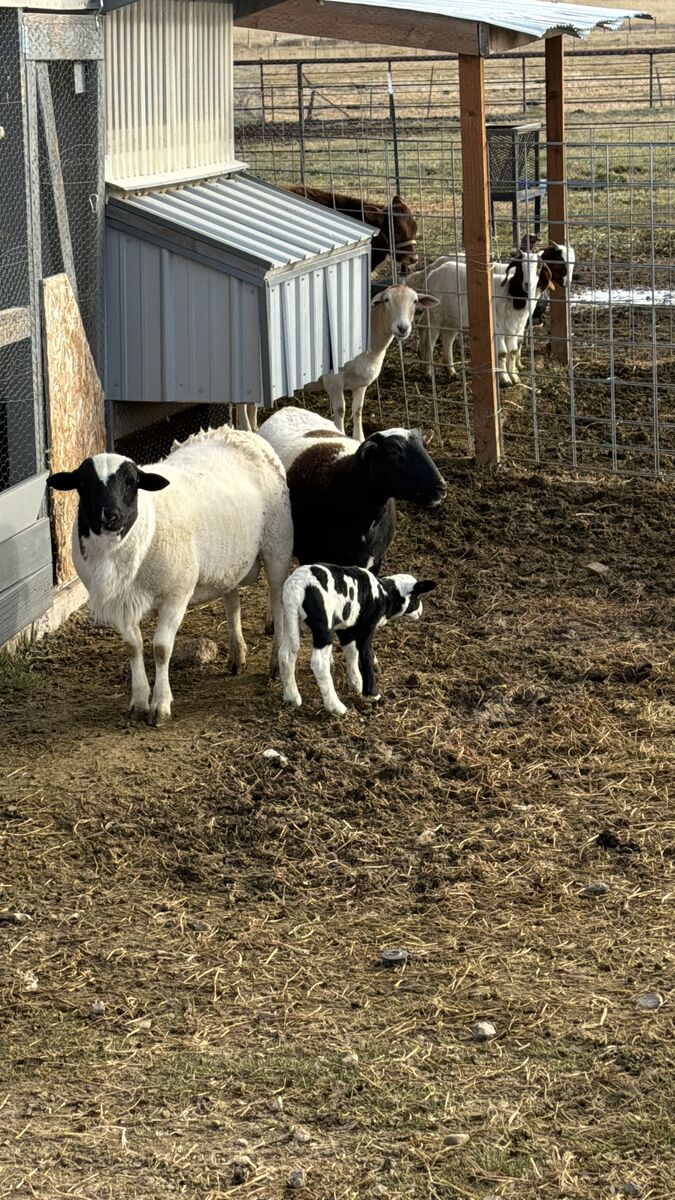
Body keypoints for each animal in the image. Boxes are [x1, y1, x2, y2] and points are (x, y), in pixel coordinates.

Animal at [47, 428, 293, 724]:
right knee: (232, 600)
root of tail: (236, 431)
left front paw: (161, 706)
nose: (111, 515)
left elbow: (162, 648)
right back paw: (236, 656)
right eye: (83, 483)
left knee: (278, 602)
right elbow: (133, 646)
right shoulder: (120, 603)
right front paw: (139, 701)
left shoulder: (176, 595)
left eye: (132, 482)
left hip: (277, 547)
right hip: (228, 561)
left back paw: (276, 664)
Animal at [258, 406, 446, 573]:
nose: (441, 487)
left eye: (424, 447)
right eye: (393, 452)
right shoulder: (310, 558)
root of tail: (286, 409)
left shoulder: (376, 560)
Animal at [279, 563, 437, 715]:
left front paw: (356, 683)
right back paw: (335, 707)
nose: (421, 611)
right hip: (323, 626)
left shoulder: (345, 626)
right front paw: (372, 694)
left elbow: (352, 651)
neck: (385, 594)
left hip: (290, 621)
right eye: (417, 597)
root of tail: (296, 588)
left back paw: (292, 698)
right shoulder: (366, 626)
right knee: (319, 663)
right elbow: (366, 655)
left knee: (285, 655)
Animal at [412, 250, 553, 386]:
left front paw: (515, 377)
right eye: (519, 267)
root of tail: (432, 273)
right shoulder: (498, 329)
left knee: (447, 339)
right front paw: (505, 379)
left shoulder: (514, 331)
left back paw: (451, 372)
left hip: (453, 319)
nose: (528, 284)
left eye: (539, 267)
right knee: (430, 340)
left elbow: (512, 352)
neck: (512, 296)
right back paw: (429, 372)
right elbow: (502, 353)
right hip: (434, 315)